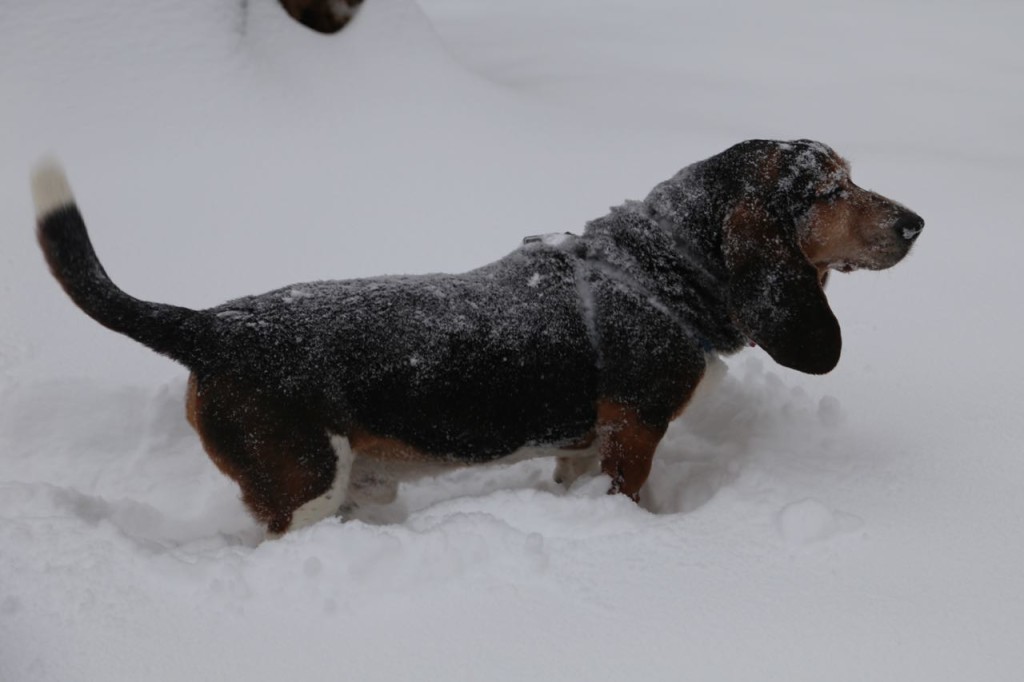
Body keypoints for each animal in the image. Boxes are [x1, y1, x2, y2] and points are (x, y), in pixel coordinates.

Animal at [36, 139, 925, 532]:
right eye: (832, 189)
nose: (916, 223)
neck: (658, 262)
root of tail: (214, 325)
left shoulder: (587, 445)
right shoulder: (635, 431)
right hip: (309, 484)